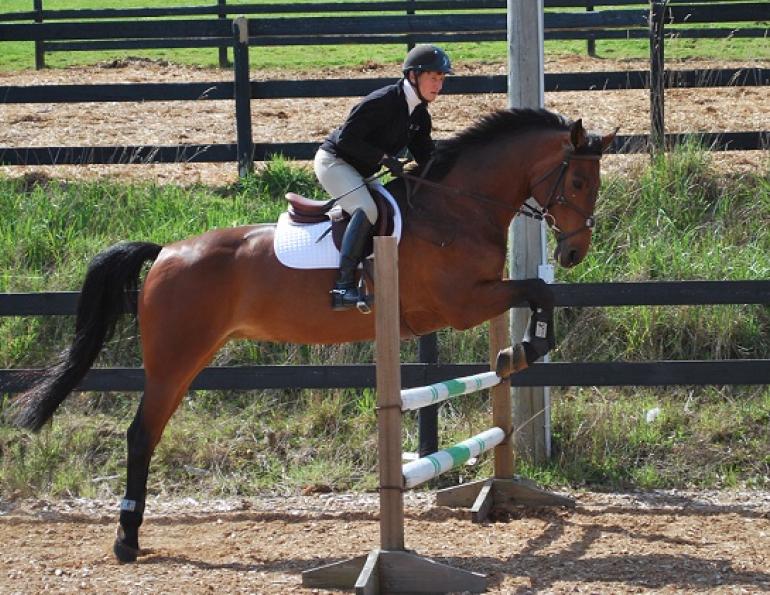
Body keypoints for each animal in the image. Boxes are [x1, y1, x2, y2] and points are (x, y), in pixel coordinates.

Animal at [12, 107, 614, 562]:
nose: (574, 252)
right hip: (172, 360)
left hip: (189, 358)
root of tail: (164, 253)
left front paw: (520, 350)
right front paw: (524, 347)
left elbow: (539, 291)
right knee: (140, 435)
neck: (457, 208)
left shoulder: (479, 294)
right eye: (577, 181)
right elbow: (537, 289)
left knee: (149, 433)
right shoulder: (463, 303)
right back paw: (126, 539)